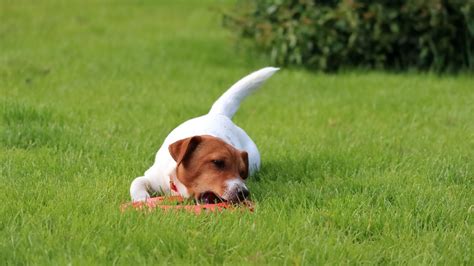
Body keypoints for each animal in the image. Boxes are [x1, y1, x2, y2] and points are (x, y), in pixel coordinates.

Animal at [129, 67, 278, 204]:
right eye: (217, 163)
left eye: (242, 173)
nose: (244, 193)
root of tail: (218, 114)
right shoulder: (152, 177)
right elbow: (137, 181)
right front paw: (141, 198)